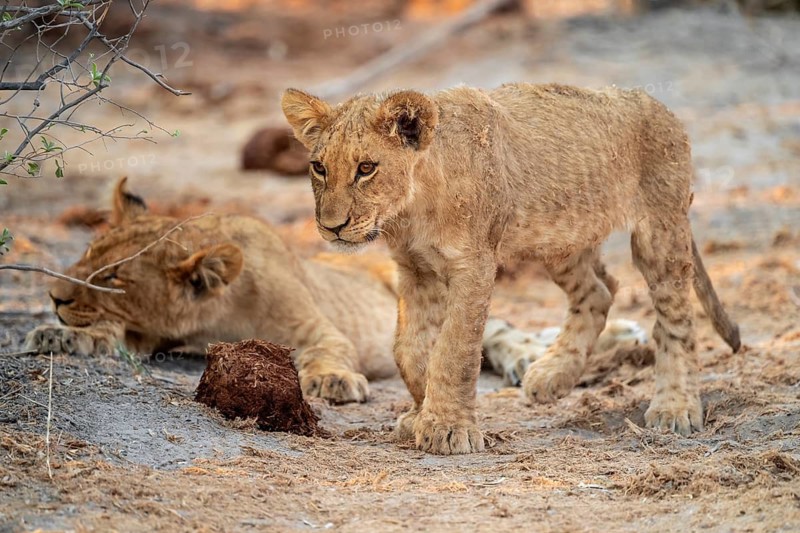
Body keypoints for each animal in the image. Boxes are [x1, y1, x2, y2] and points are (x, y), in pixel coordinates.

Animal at [24, 178, 647, 404]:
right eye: (86, 257)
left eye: (112, 278)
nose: (54, 296)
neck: (209, 321)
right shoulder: (149, 337)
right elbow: (107, 335)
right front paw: (55, 335)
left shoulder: (315, 325)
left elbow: (326, 351)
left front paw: (331, 381)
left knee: (508, 336)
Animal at [281, 82, 741, 454]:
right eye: (319, 167)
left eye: (366, 168)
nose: (331, 226)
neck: (411, 210)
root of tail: (660, 106)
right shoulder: (415, 271)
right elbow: (410, 349)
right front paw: (419, 415)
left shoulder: (474, 265)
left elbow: (455, 350)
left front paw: (448, 429)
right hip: (562, 238)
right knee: (599, 290)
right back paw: (553, 376)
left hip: (659, 228)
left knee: (674, 319)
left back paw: (675, 407)